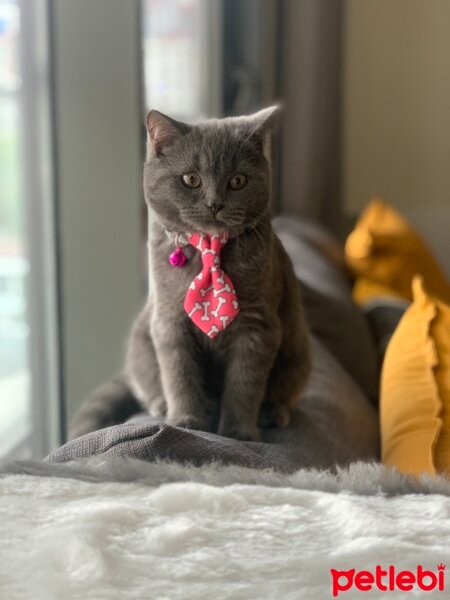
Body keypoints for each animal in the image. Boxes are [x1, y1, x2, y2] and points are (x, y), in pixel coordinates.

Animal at [69, 106, 310, 440]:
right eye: (191, 179)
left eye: (238, 180)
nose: (214, 204)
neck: (209, 248)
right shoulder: (169, 319)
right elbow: (179, 373)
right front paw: (186, 421)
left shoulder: (258, 325)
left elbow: (245, 382)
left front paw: (238, 433)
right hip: (140, 341)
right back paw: (166, 404)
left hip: (298, 351)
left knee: (284, 388)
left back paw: (271, 411)